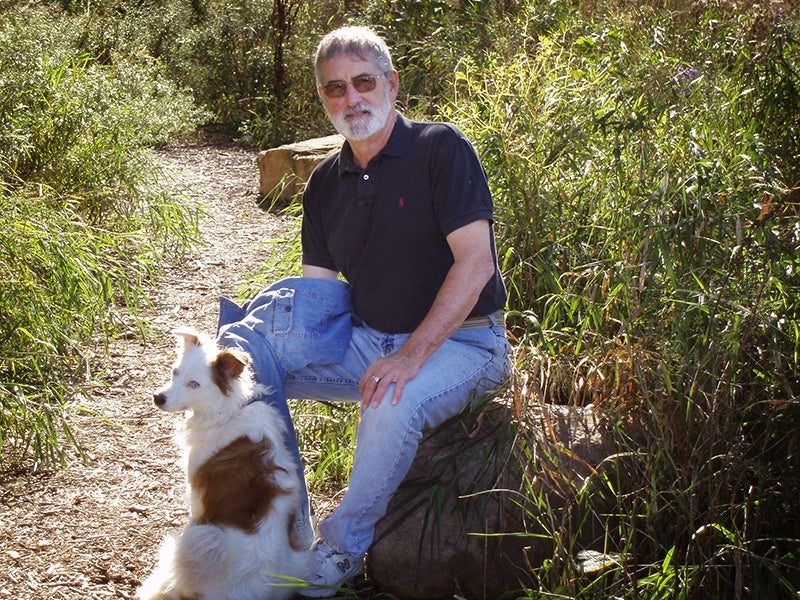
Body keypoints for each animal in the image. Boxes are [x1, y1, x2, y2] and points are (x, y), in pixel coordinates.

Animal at [136, 328, 310, 600]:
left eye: (194, 384)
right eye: (175, 372)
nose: (158, 398)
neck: (229, 411)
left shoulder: (197, 498)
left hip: (203, 537)